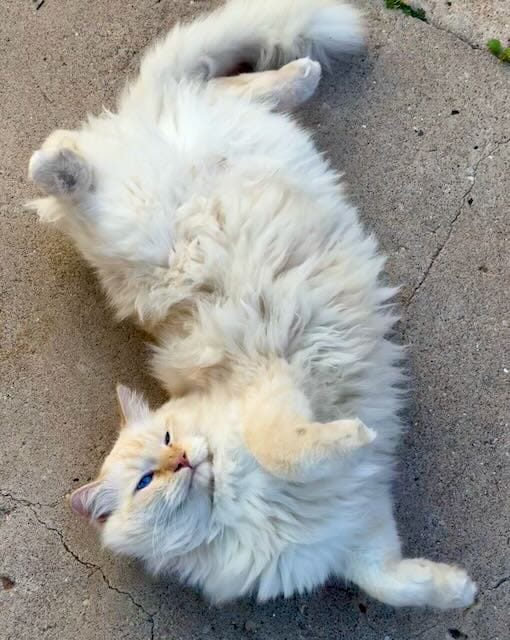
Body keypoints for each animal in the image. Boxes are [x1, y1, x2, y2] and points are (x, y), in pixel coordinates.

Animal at [27, 0, 476, 608]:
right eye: (145, 481)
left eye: (166, 438)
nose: (180, 459)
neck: (241, 508)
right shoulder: (352, 530)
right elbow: (388, 581)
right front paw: (456, 591)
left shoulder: (279, 397)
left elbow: (283, 447)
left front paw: (355, 436)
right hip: (133, 219)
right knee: (215, 93)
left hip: (141, 206)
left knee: (190, 99)